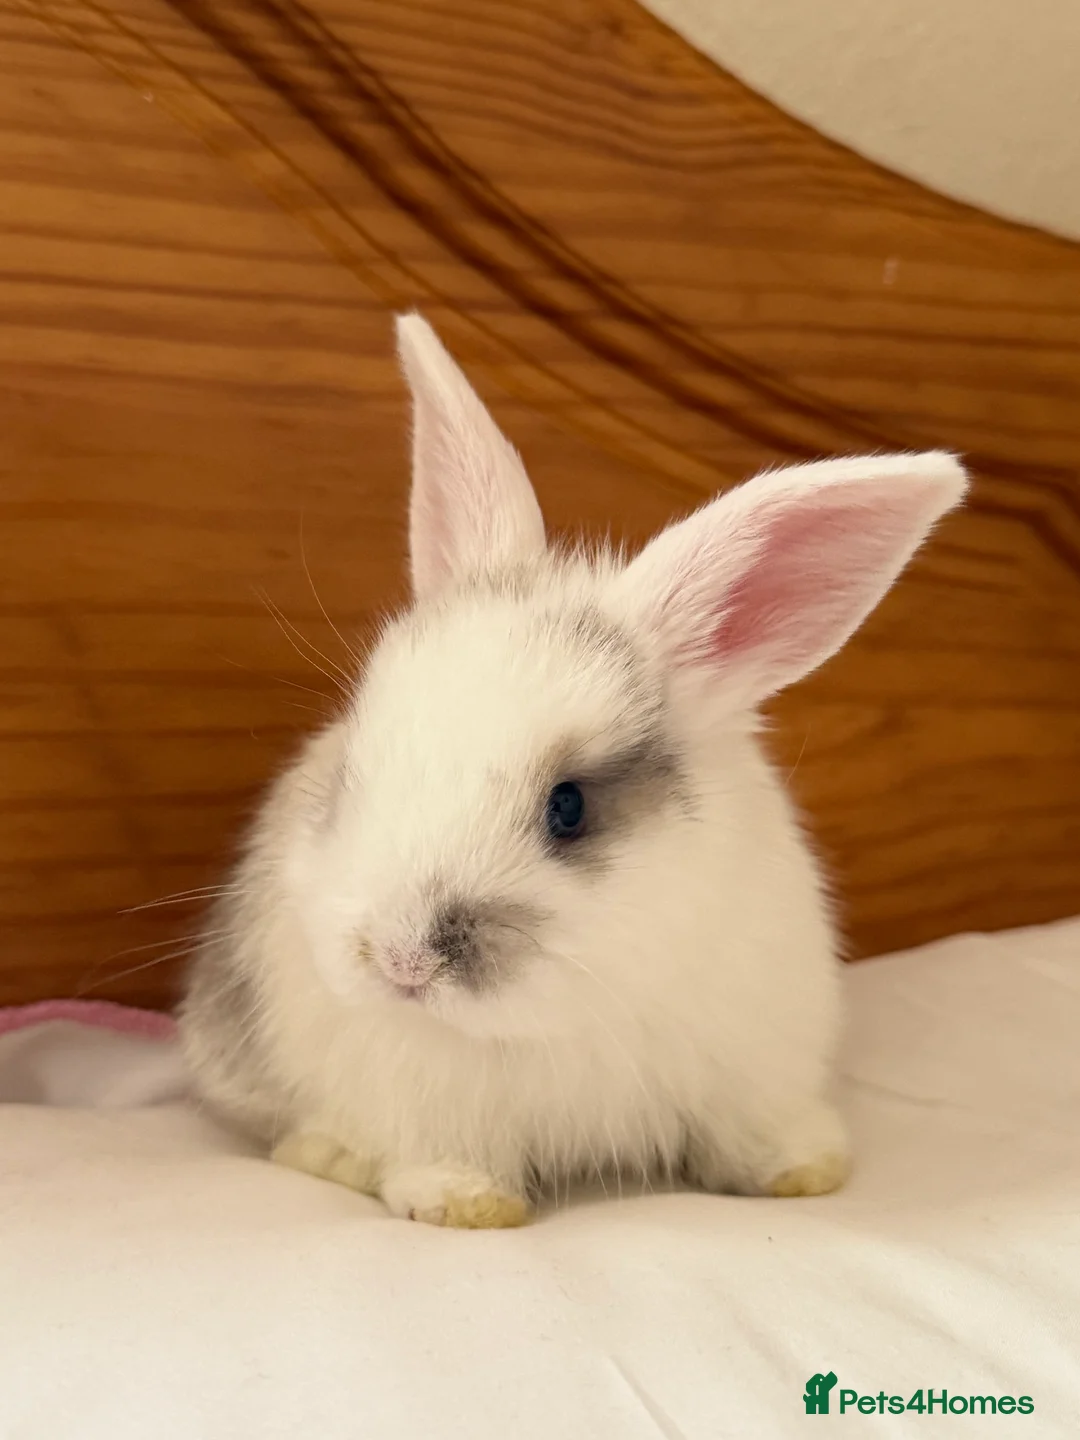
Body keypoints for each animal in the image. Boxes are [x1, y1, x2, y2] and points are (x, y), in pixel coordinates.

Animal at [178, 313, 967, 1228]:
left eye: (569, 808)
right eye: (351, 770)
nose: (399, 963)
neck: (573, 1005)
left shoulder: (756, 1062)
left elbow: (759, 1134)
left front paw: (804, 1173)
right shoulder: (427, 1102)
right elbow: (443, 1159)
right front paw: (464, 1206)